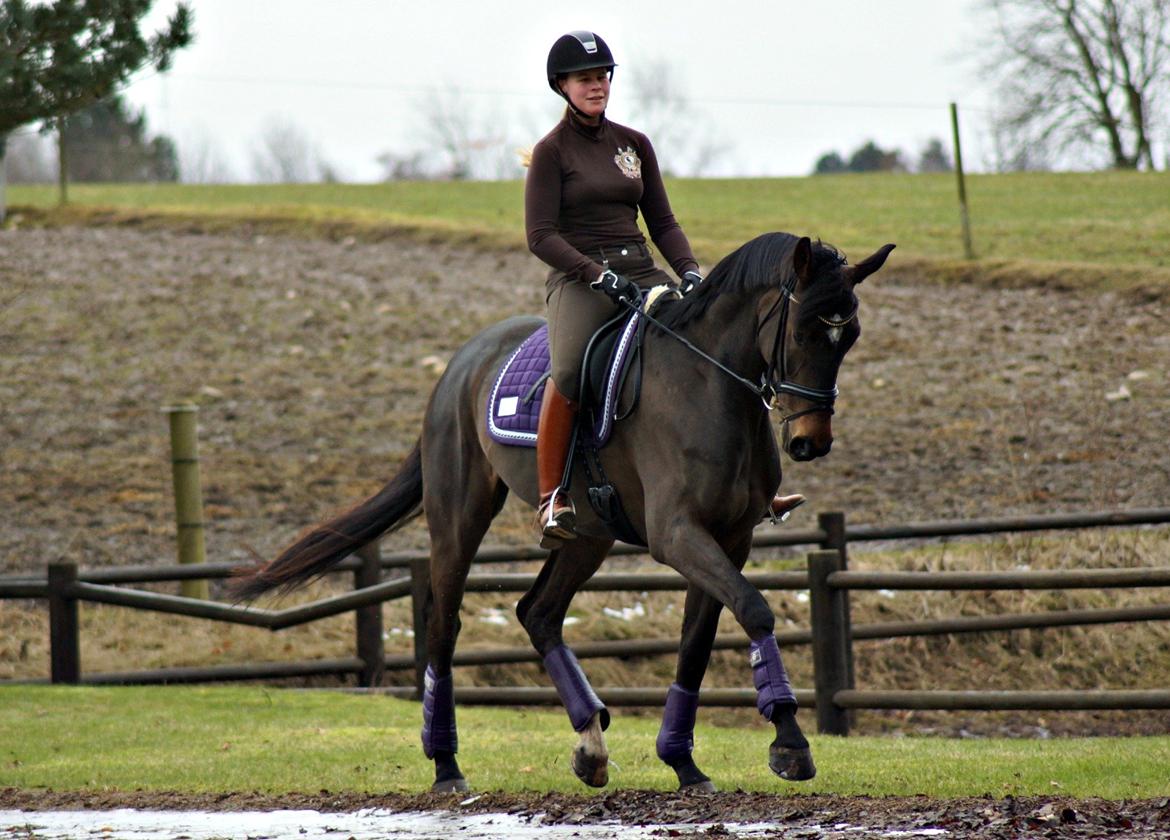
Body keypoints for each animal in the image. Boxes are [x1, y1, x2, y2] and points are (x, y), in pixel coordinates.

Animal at [235, 231, 893, 795]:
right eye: (804, 332)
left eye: (851, 335)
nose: (810, 441)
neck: (708, 383)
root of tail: (460, 364)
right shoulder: (678, 535)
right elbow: (755, 610)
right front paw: (790, 743)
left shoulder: (729, 538)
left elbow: (698, 643)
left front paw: (683, 762)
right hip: (459, 519)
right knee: (444, 626)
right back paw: (446, 765)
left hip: (587, 536)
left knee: (538, 613)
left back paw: (590, 745)